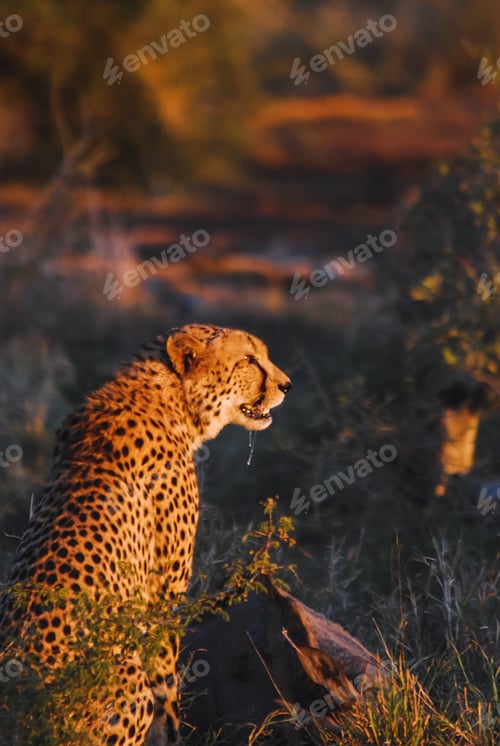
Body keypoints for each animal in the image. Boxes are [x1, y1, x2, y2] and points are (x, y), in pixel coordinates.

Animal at [0, 324, 291, 745]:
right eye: (248, 359)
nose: (287, 385)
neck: (171, 398)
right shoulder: (162, 595)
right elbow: (167, 683)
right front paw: (171, 733)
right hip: (127, 680)